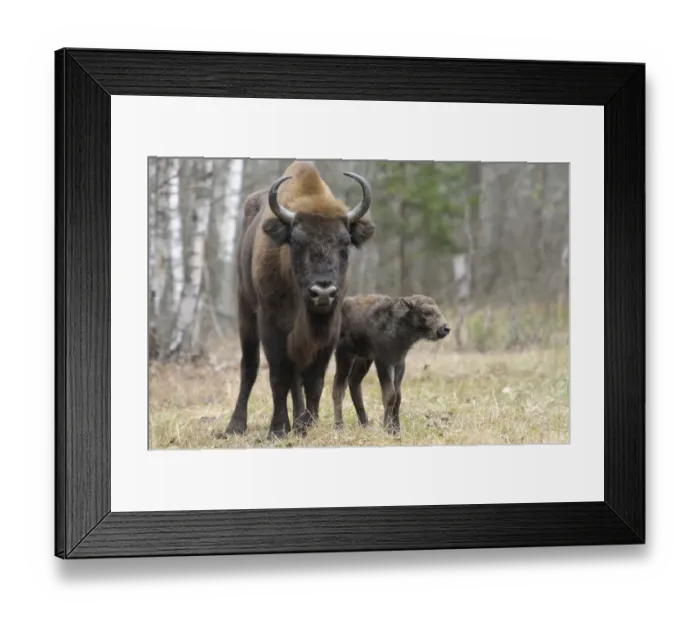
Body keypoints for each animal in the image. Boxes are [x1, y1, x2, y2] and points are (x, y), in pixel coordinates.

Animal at [225, 161, 376, 439]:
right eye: (296, 241)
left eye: (345, 242)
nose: (323, 292)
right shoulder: (272, 325)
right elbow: (278, 377)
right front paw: (278, 428)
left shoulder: (329, 329)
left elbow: (313, 380)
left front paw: (309, 424)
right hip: (245, 309)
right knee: (250, 366)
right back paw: (236, 426)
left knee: (295, 376)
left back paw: (299, 420)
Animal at [331, 294, 451, 435]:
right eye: (427, 312)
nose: (445, 328)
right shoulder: (383, 361)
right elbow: (390, 395)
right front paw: (387, 429)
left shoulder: (399, 362)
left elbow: (398, 397)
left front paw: (397, 430)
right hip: (345, 354)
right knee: (339, 386)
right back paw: (339, 426)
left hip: (363, 359)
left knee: (353, 383)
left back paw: (365, 424)